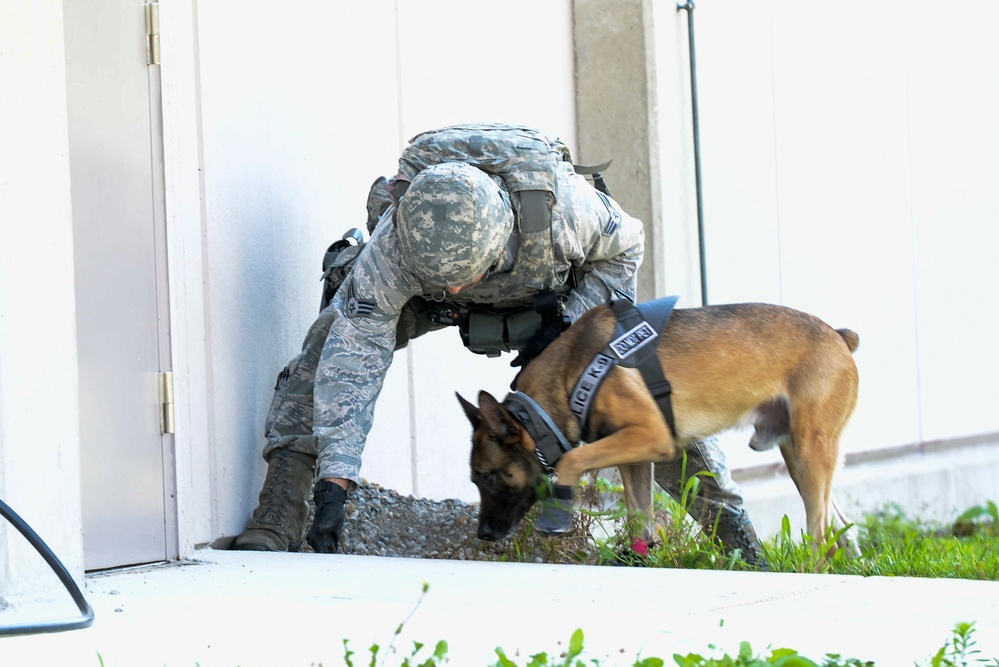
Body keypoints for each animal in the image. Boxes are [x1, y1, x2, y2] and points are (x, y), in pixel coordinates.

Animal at [458, 300, 860, 556]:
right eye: (474, 480)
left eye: (488, 476)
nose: (483, 534)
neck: (573, 371)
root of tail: (838, 336)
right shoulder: (635, 457)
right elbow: (640, 520)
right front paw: (638, 557)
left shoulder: (651, 436)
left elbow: (572, 461)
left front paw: (557, 511)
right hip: (799, 458)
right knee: (839, 530)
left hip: (810, 454)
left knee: (820, 533)